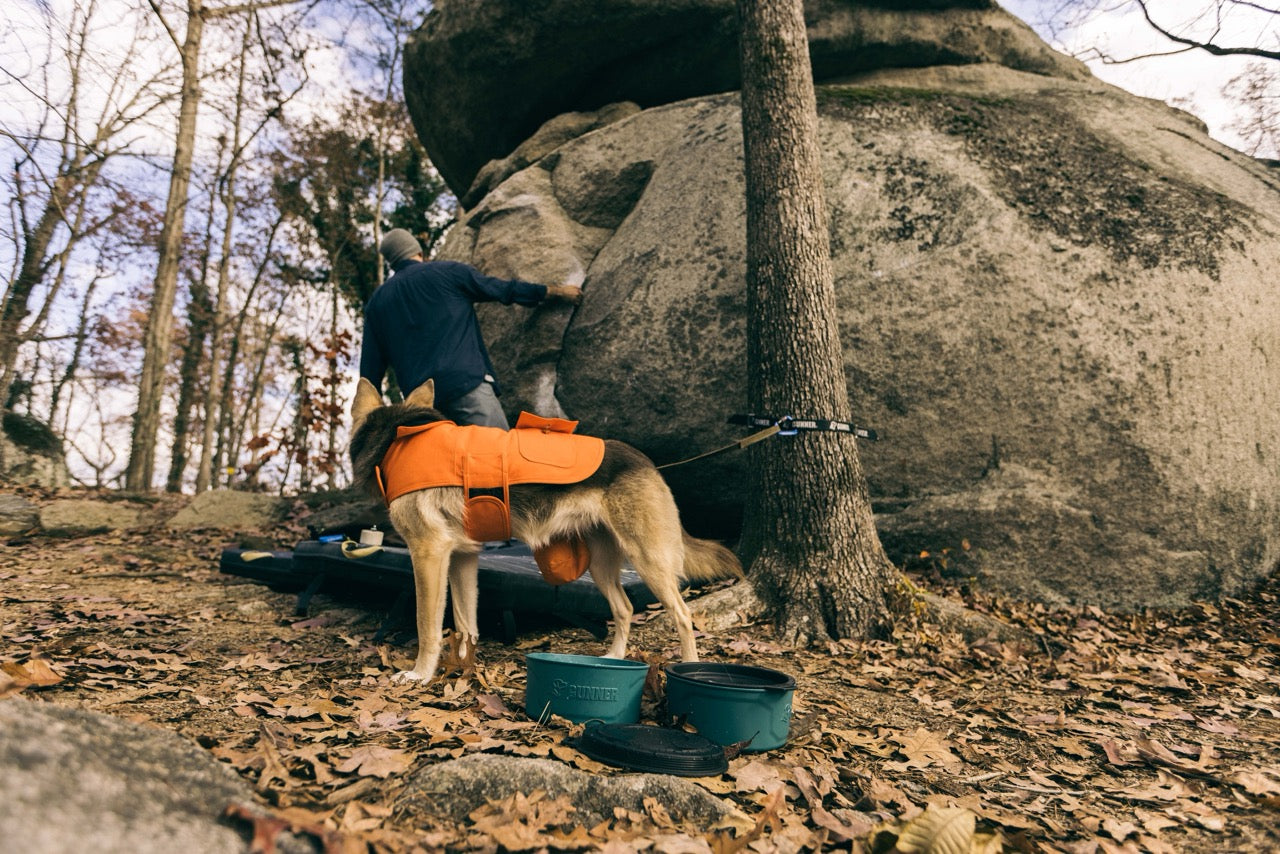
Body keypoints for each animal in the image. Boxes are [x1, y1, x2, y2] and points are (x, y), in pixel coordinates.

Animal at [345, 376, 747, 686]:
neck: (398, 436)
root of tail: (646, 462)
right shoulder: (463, 558)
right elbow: (465, 622)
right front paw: (464, 666)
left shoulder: (428, 553)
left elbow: (426, 625)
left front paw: (420, 674)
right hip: (601, 565)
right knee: (625, 608)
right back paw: (614, 658)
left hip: (649, 561)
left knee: (682, 614)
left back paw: (689, 667)